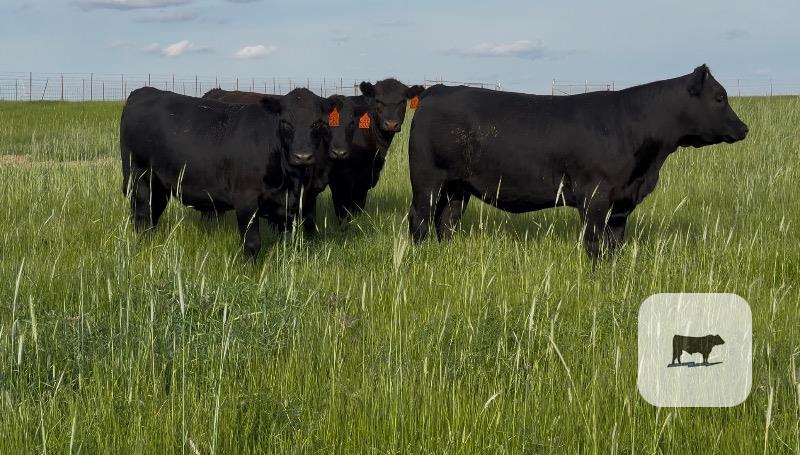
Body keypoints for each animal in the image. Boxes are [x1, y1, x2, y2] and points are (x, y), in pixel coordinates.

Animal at [120, 86, 341, 258]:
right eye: (286, 122)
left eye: (318, 123)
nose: (302, 156)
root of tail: (144, 91)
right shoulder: (246, 200)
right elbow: (252, 243)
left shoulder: (288, 205)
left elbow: (287, 241)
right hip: (139, 177)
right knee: (142, 216)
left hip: (159, 184)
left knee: (153, 213)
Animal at [328, 79, 424, 220]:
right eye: (378, 100)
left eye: (402, 101)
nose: (391, 124)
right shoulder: (341, 178)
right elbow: (343, 211)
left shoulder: (366, 178)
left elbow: (358, 207)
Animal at [407, 65, 749, 258]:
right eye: (719, 98)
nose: (744, 128)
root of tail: (437, 89)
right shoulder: (595, 197)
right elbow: (594, 243)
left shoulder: (621, 202)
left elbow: (614, 244)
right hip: (427, 180)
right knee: (419, 221)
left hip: (457, 188)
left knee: (446, 222)